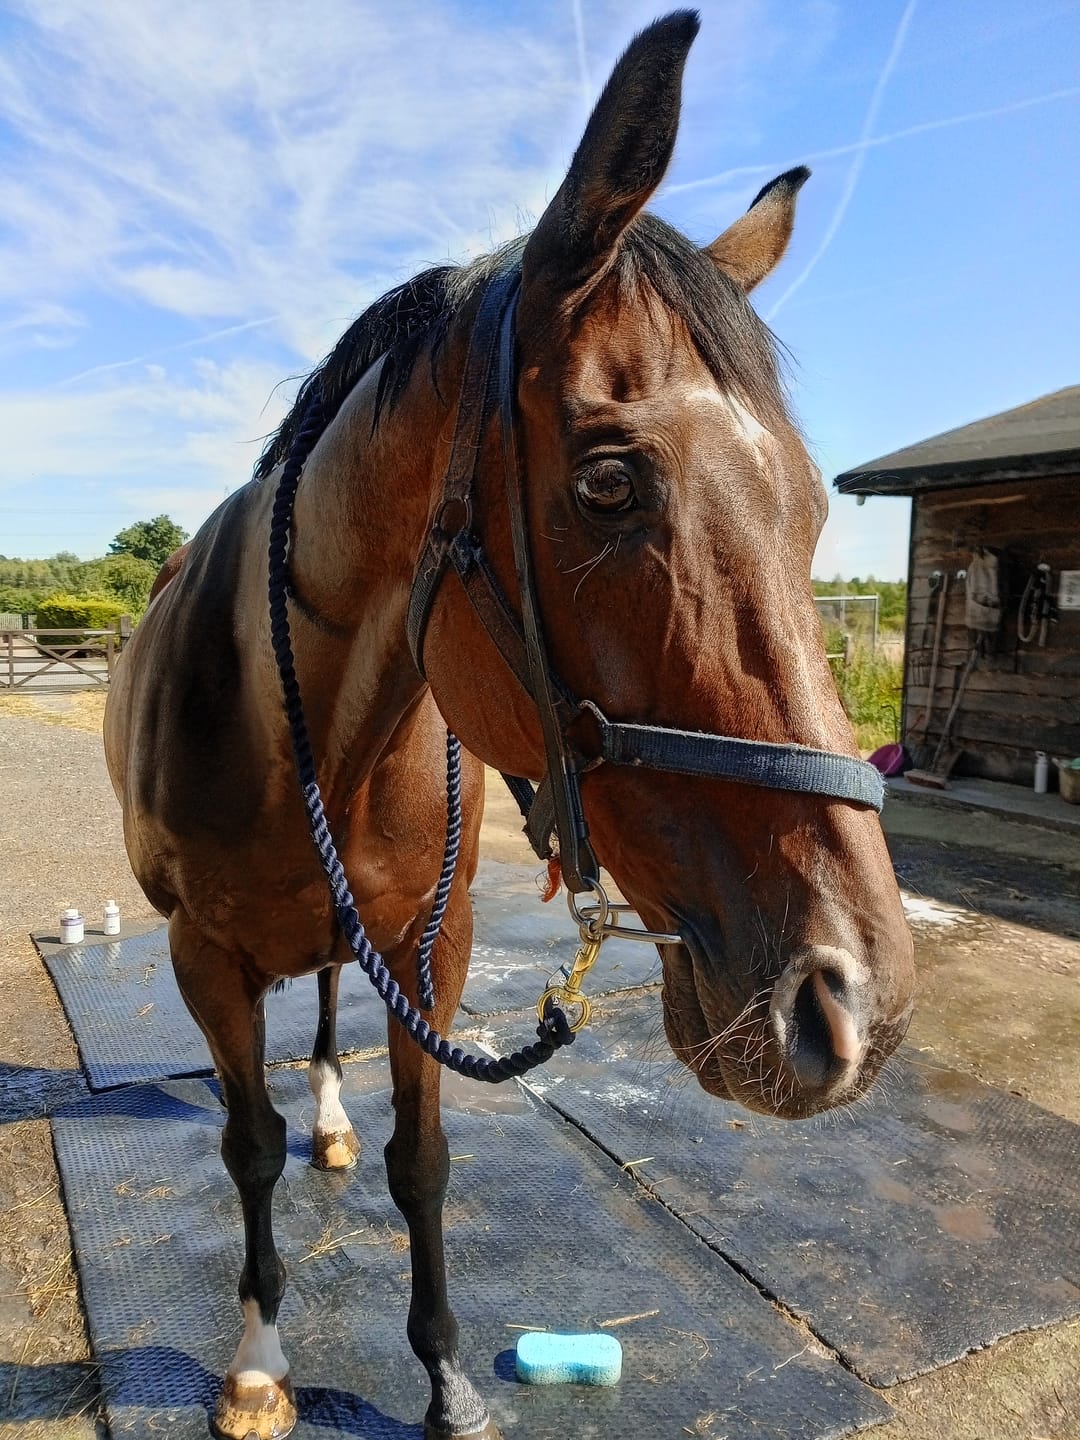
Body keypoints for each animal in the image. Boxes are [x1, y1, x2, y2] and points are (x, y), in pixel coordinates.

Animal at [104, 12, 914, 1439]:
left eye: (816, 505)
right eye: (609, 484)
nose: (850, 1004)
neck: (304, 725)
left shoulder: (430, 943)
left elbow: (422, 1161)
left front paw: (443, 1382)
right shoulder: (202, 956)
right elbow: (245, 1150)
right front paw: (257, 1364)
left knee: (328, 1009)